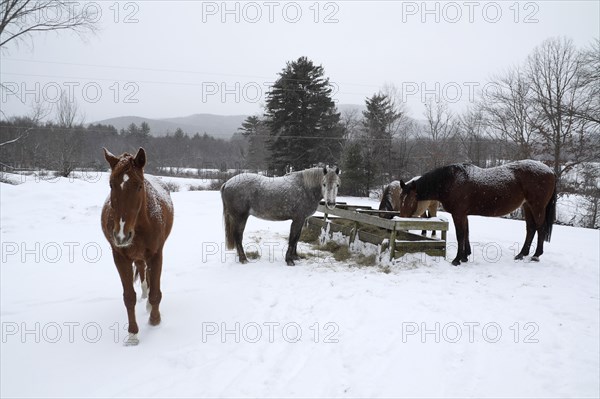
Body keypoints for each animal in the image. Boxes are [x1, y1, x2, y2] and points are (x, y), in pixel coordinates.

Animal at [101, 148, 173, 346]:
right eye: (111, 184)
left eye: (139, 186)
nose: (121, 235)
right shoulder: (120, 257)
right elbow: (128, 297)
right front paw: (133, 334)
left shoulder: (156, 254)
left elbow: (155, 292)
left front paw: (155, 320)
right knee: (142, 271)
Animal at [398, 161, 556, 268]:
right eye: (400, 198)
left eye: (410, 200)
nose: (402, 220)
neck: (451, 181)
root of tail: (550, 171)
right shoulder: (464, 215)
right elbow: (466, 233)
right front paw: (465, 256)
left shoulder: (458, 214)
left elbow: (461, 234)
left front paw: (457, 259)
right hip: (527, 206)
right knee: (531, 228)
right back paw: (522, 254)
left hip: (537, 207)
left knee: (540, 228)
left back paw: (536, 255)